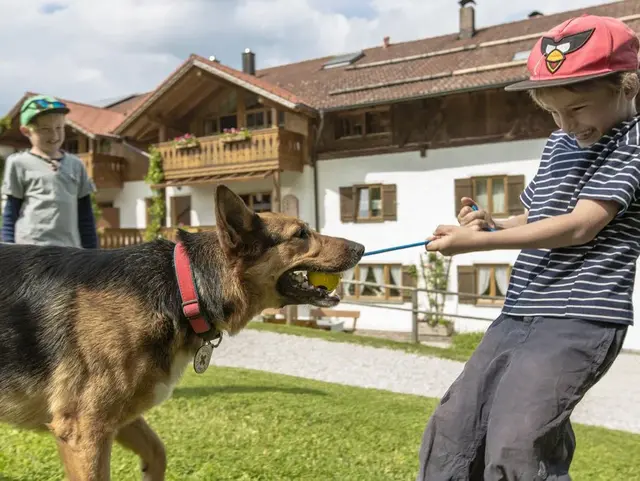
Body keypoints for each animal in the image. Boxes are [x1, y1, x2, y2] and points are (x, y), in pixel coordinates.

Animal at [0, 185, 362, 480]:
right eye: (301, 233)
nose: (360, 247)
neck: (185, 286)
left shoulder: (119, 419)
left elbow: (157, 452)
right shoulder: (84, 429)